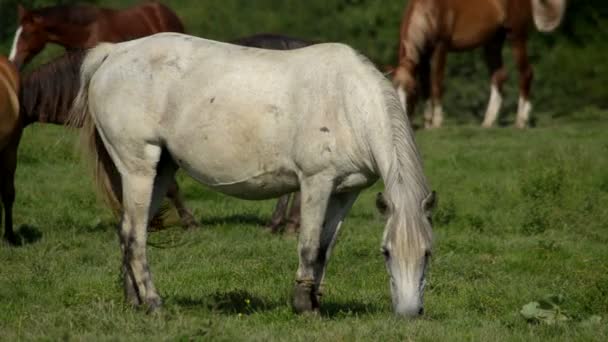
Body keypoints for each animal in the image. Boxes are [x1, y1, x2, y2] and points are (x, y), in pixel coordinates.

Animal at [69, 33, 434, 316]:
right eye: (386, 252)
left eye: (428, 253)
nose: (408, 312)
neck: (348, 101)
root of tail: (113, 52)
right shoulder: (316, 183)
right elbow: (309, 246)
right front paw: (304, 305)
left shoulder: (345, 192)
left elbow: (325, 248)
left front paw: (316, 302)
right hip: (138, 169)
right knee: (134, 236)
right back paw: (154, 303)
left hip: (161, 169)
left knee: (128, 231)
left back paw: (134, 302)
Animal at [392, 0, 568, 128]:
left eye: (411, 92)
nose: (400, 122)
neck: (429, 11)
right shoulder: (424, 55)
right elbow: (427, 88)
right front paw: (428, 123)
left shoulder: (440, 48)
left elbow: (437, 84)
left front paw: (437, 122)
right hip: (494, 41)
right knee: (499, 76)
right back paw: (488, 122)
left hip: (516, 35)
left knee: (526, 72)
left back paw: (521, 121)